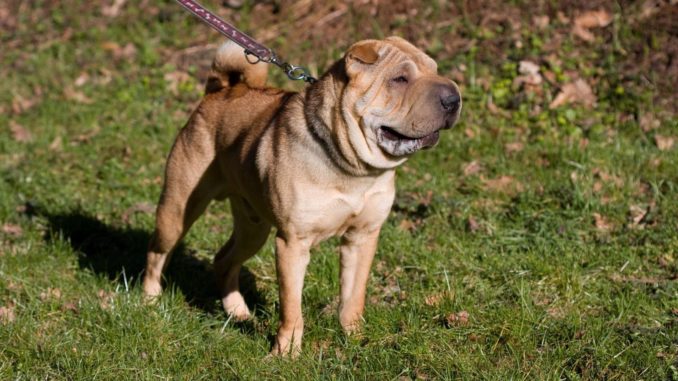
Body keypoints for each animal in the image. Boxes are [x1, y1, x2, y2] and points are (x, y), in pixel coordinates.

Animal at [143, 37, 462, 354]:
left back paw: (238, 312)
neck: (353, 170)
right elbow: (292, 307)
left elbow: (353, 296)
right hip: (178, 209)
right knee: (157, 253)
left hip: (253, 228)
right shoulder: (293, 243)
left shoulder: (362, 236)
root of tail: (220, 91)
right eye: (400, 79)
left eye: (435, 70)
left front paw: (354, 337)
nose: (454, 98)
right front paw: (286, 352)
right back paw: (150, 302)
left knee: (224, 259)